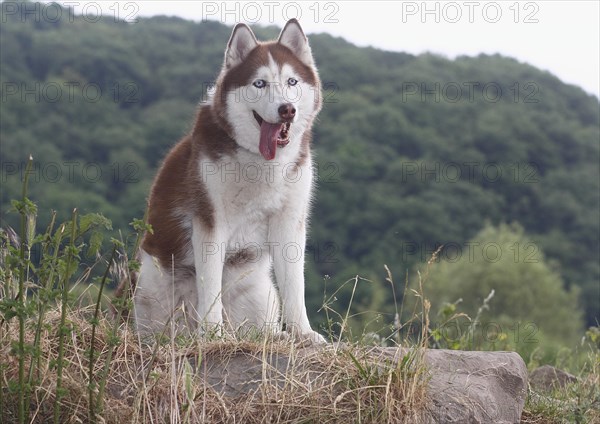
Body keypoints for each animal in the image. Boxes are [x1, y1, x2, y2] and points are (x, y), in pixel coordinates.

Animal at [126, 20, 324, 344]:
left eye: (292, 81)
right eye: (260, 83)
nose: (287, 109)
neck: (260, 163)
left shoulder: (289, 222)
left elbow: (295, 285)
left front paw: (303, 333)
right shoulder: (210, 220)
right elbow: (210, 286)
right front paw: (212, 334)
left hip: (261, 295)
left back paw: (276, 336)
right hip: (149, 284)